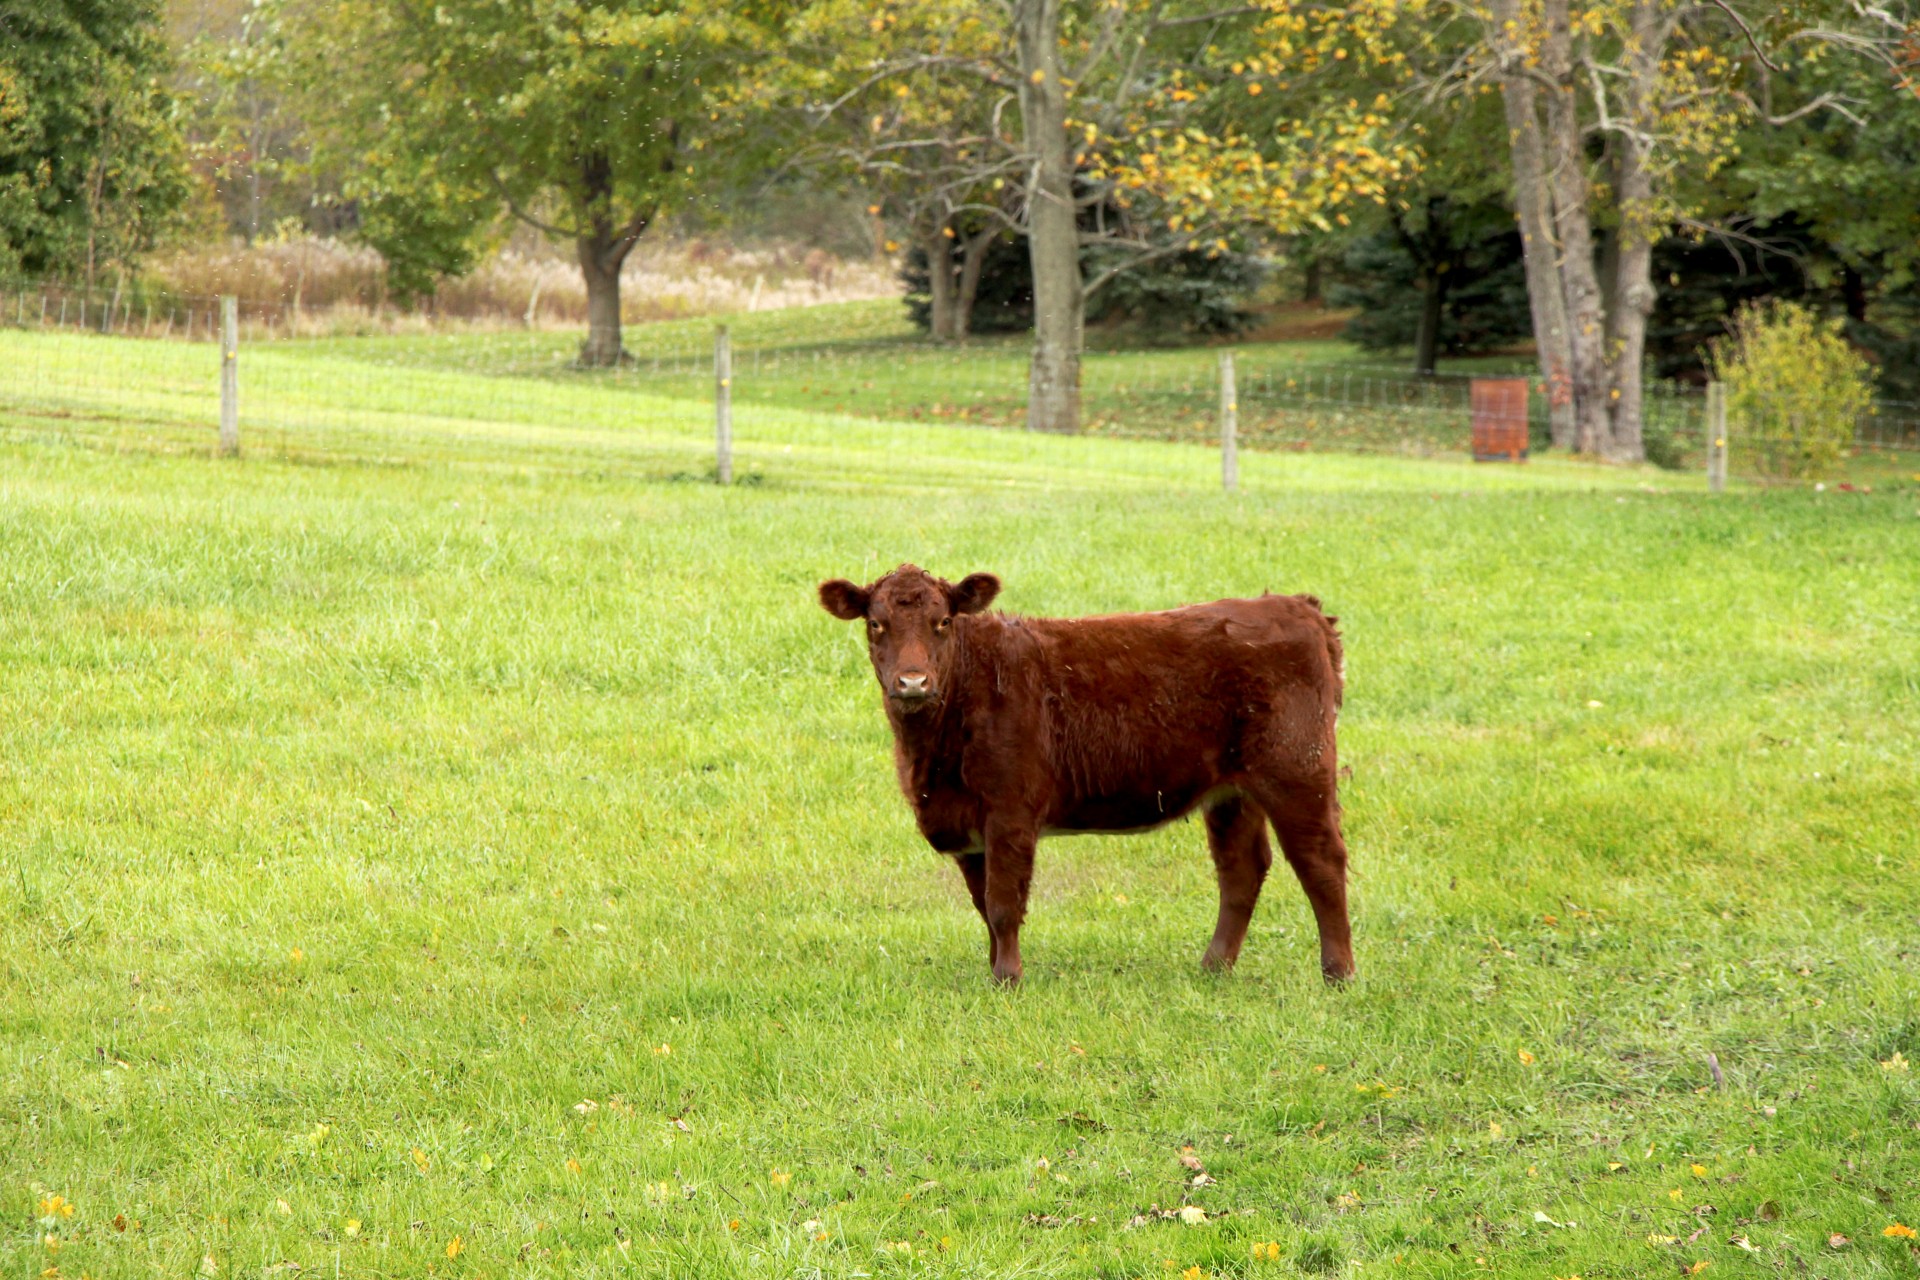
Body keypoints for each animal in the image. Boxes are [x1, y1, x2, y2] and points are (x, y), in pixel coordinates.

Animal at [821, 564, 1351, 990]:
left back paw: (1338, 973)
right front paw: (993, 970)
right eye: (876, 623)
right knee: (1241, 870)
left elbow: (1003, 903)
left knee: (1320, 862)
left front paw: (1008, 979)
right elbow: (982, 905)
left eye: (944, 622)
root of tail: (1293, 605)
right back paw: (1214, 967)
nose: (912, 682)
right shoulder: (967, 825)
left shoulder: (1010, 812)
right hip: (1231, 793)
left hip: (1297, 770)